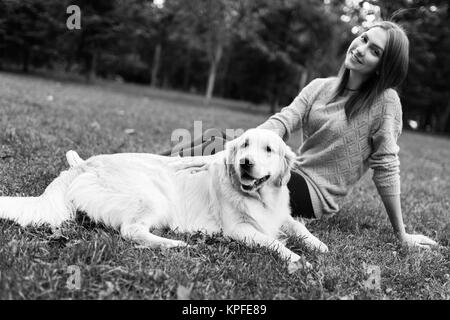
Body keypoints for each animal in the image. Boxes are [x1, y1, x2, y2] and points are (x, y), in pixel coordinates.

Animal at [0, 127, 326, 262]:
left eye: (268, 150)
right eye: (245, 145)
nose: (245, 163)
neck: (259, 197)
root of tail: (85, 164)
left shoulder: (280, 215)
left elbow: (297, 226)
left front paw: (318, 245)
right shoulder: (239, 229)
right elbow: (273, 241)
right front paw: (297, 259)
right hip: (153, 197)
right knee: (131, 231)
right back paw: (176, 244)